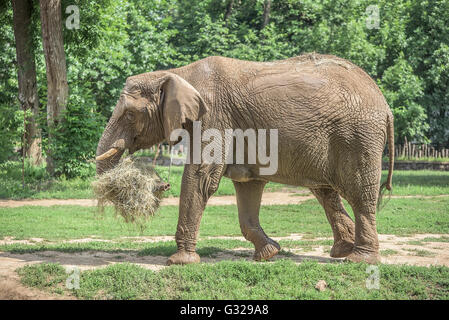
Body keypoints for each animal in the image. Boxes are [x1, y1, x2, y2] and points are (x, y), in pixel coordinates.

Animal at [96, 53, 394, 266]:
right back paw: (342, 251)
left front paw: (179, 262)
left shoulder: (214, 118)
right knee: (325, 191)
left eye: (130, 115)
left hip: (357, 137)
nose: (160, 184)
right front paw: (268, 253)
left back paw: (359, 259)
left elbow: (200, 177)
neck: (176, 74)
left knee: (360, 194)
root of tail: (385, 104)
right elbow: (247, 186)